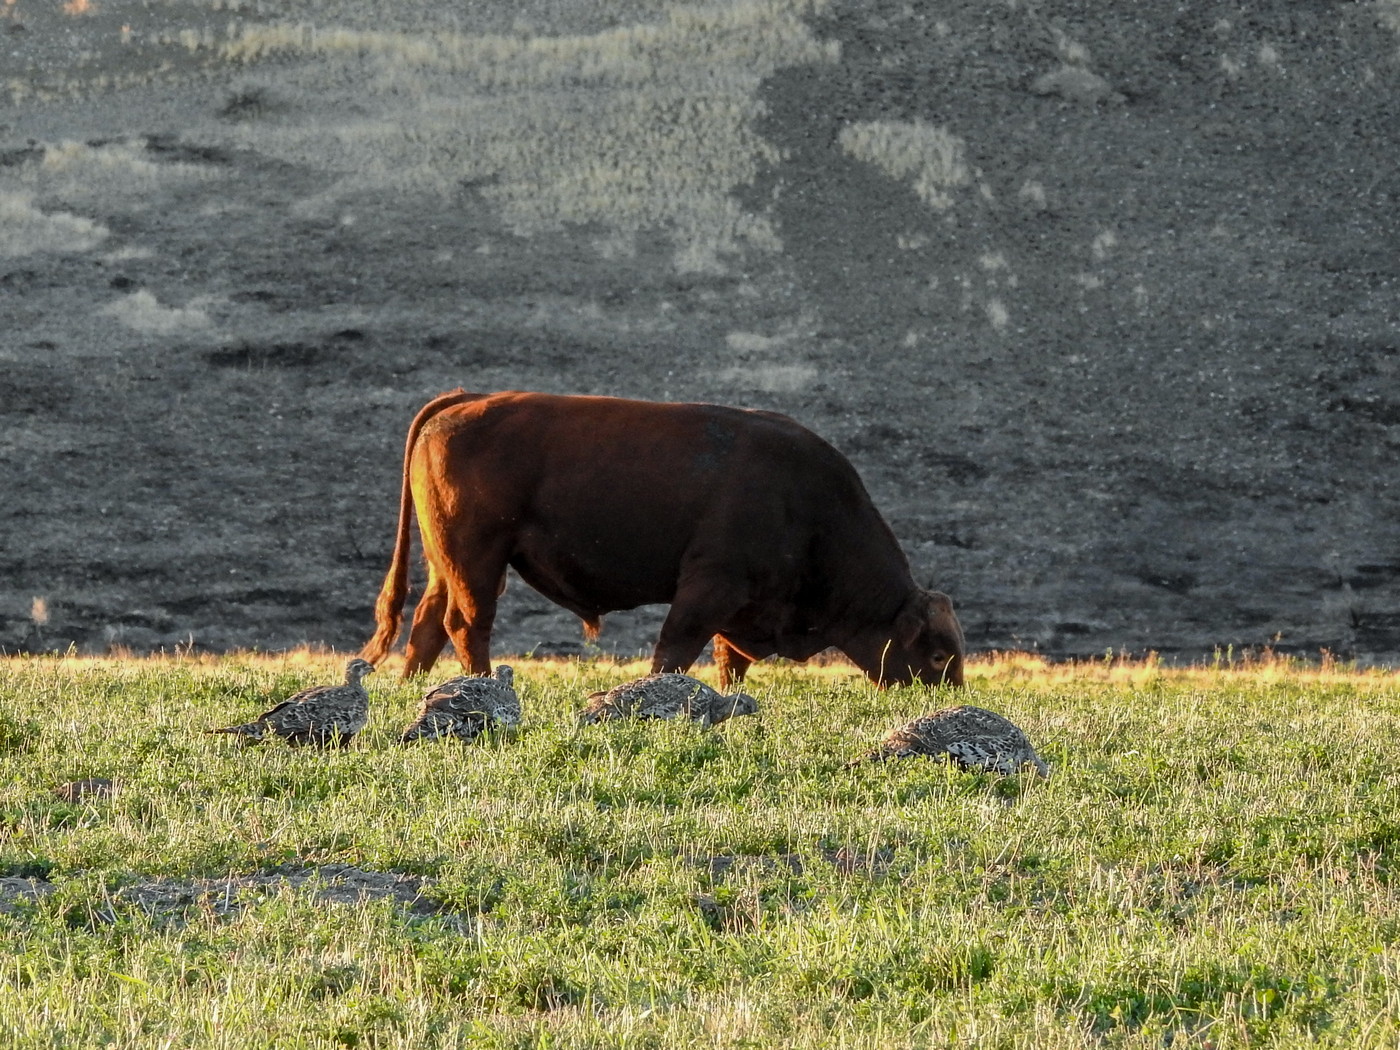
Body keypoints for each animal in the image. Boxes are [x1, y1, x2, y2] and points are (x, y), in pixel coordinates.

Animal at [361, 389, 965, 689]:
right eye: (938, 655)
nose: (949, 697)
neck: (809, 506)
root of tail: (463, 401)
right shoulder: (710, 588)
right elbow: (676, 648)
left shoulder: (739, 606)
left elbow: (729, 660)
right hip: (478, 560)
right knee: (467, 624)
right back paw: (480, 688)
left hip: (447, 563)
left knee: (428, 623)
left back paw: (411, 689)